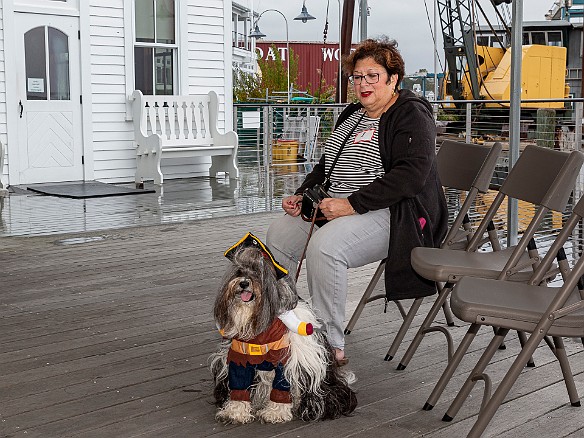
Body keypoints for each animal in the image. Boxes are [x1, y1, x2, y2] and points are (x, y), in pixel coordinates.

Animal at [210, 233, 356, 424]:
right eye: (240, 271)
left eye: (259, 272)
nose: (243, 283)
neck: (260, 330)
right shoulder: (239, 358)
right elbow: (239, 386)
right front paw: (235, 412)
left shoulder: (286, 360)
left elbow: (281, 388)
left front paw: (275, 413)